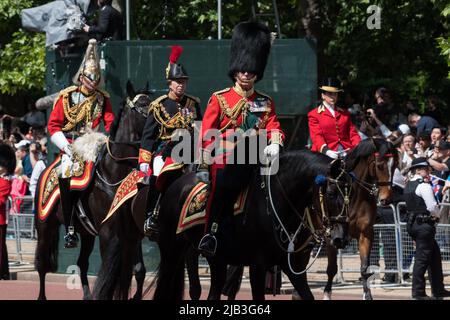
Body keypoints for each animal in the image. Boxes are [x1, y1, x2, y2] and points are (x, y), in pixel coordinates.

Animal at [34, 80, 151, 300]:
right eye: (142, 107)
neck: (115, 174)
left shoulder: (132, 234)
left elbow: (137, 270)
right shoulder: (108, 234)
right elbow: (110, 276)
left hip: (87, 233)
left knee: (82, 262)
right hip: (45, 227)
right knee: (42, 266)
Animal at [151, 148, 348, 300]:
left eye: (350, 194)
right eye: (331, 194)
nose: (340, 239)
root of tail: (177, 183)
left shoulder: (293, 265)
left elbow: (307, 295)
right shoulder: (257, 265)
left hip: (216, 259)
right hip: (171, 251)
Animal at [322, 138, 400, 300]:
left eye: (395, 164)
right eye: (379, 165)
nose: (386, 200)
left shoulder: (365, 234)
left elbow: (365, 268)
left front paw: (367, 295)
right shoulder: (330, 236)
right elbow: (332, 268)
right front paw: (327, 294)